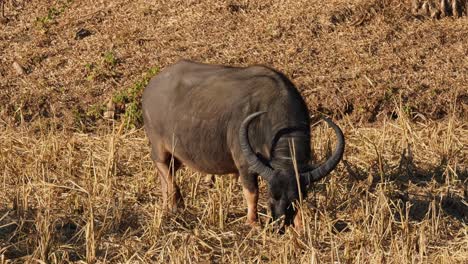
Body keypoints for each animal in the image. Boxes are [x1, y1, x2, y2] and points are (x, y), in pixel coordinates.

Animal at [141, 59, 346, 229]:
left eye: (294, 200)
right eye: (271, 196)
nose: (279, 223)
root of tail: (151, 86)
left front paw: (301, 225)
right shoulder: (245, 165)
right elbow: (252, 193)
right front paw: (253, 222)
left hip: (177, 155)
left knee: (168, 172)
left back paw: (168, 204)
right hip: (159, 146)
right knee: (162, 166)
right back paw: (176, 203)